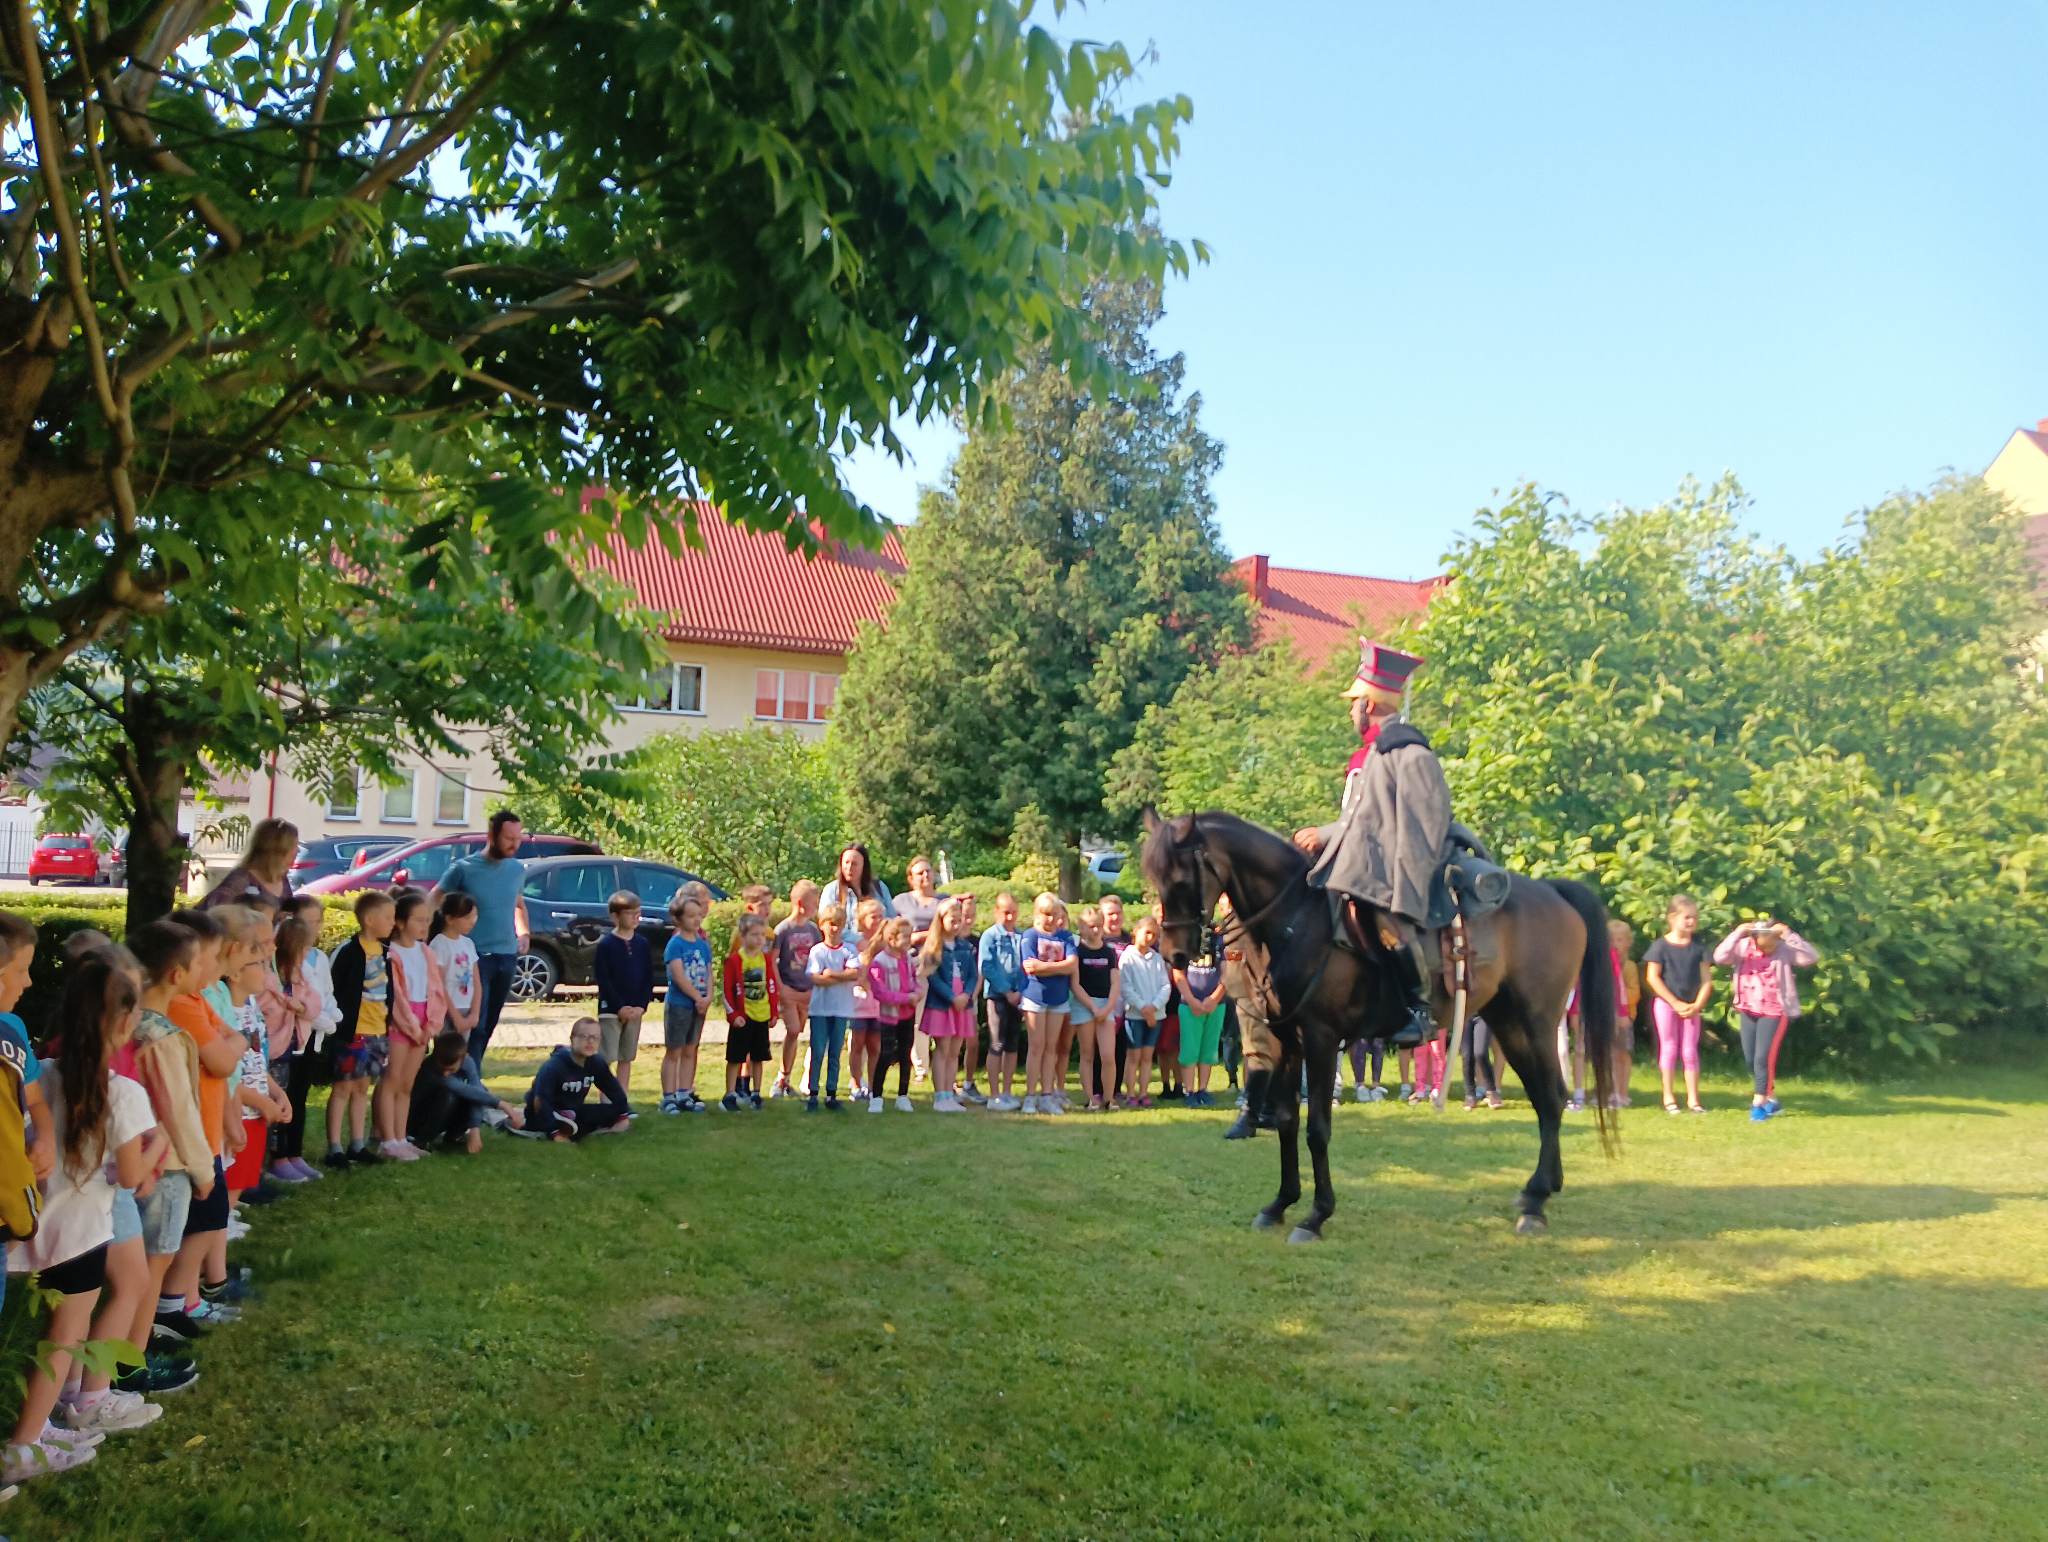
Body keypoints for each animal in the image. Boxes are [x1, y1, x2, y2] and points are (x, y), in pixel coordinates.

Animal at [1146, 810, 1605, 1245]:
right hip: (1509, 1025)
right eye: (1153, 877)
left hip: (1535, 1023)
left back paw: (1537, 1202)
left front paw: (1316, 1216)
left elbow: (1317, 1130)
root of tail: (1552, 892)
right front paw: (1280, 1203)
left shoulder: (1321, 1039)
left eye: (1181, 879)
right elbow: (1287, 1121)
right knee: (1546, 1098)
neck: (1296, 920)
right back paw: (1538, 1192)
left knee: (1551, 1098)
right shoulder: (1286, 1040)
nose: (1174, 955)